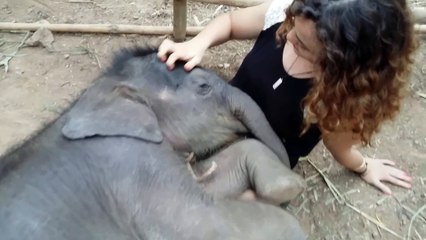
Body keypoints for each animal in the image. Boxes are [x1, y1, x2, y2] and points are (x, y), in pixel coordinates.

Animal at [0, 47, 306, 239]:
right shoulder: (132, 168)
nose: (295, 170)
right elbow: (213, 225)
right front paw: (281, 194)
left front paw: (283, 187)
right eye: (203, 87)